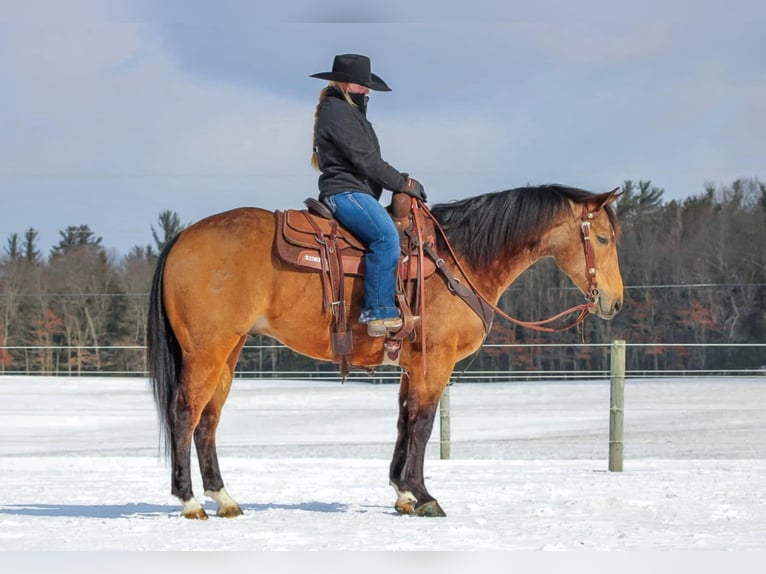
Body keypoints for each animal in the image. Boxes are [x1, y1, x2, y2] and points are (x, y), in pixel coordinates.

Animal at [146, 184, 624, 520]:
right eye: (602, 238)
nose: (615, 303)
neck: (458, 259)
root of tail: (183, 237)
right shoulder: (436, 362)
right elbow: (423, 424)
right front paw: (424, 494)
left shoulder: (412, 367)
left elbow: (404, 422)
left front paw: (402, 492)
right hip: (207, 351)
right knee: (185, 413)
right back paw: (189, 501)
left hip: (228, 353)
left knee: (208, 420)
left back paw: (224, 498)